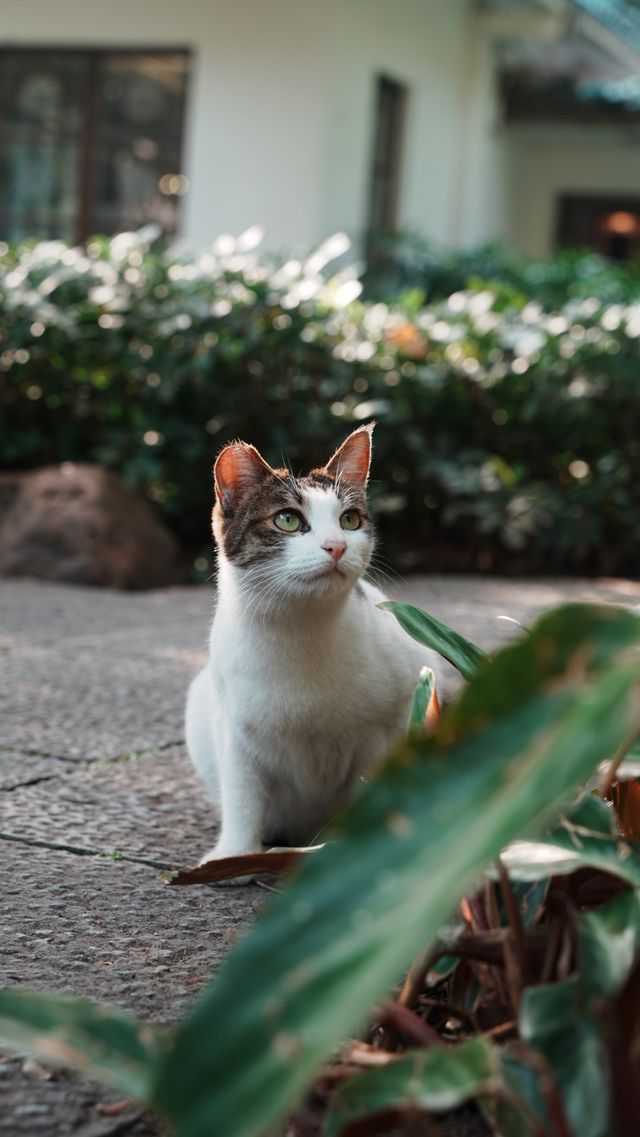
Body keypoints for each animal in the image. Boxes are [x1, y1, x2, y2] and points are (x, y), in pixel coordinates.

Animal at [184, 425, 436, 859]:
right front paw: (233, 854)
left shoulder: (389, 724)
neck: (298, 628)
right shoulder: (233, 730)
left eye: (349, 520)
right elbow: (242, 797)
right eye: (287, 519)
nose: (337, 545)